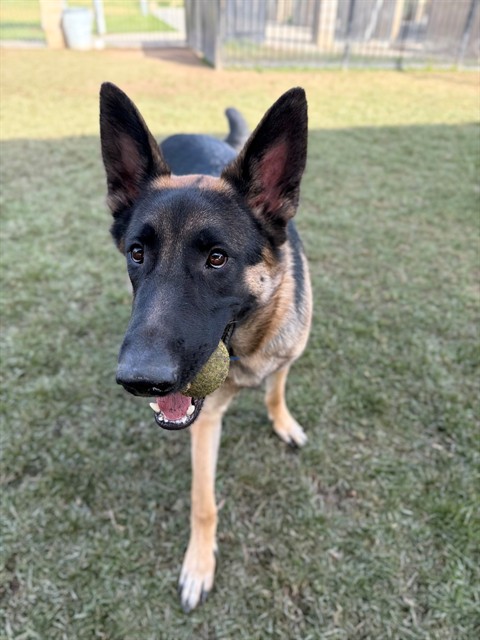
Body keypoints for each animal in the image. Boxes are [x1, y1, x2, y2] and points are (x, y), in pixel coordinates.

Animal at [99, 83, 312, 612]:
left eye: (218, 259)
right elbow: (204, 504)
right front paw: (198, 564)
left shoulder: (285, 358)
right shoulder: (205, 421)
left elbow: (277, 390)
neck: (247, 348)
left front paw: (282, 421)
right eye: (137, 253)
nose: (140, 380)